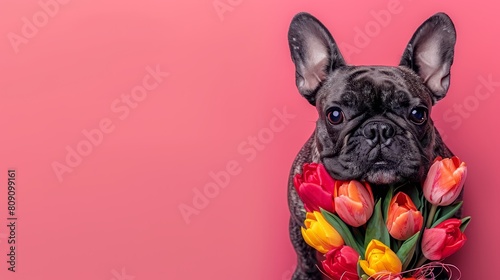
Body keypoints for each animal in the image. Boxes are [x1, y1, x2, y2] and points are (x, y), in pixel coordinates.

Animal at [290, 12, 458, 278]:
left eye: (418, 114)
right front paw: (305, 275)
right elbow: (304, 257)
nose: (379, 129)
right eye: (335, 115)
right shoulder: (297, 223)